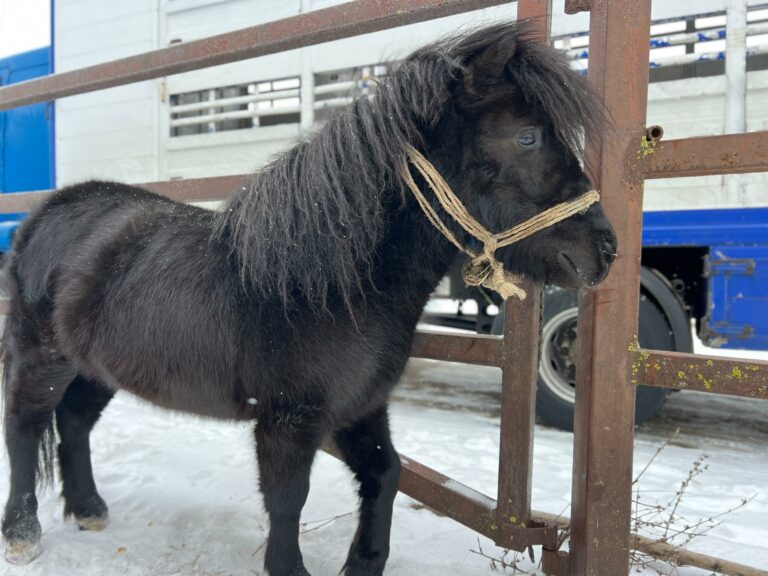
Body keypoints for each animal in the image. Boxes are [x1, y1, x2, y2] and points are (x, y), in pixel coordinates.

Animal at [1, 22, 616, 576]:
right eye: (527, 137)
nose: (606, 250)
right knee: (25, 427)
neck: (325, 286)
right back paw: (23, 533)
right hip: (41, 359)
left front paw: (364, 563)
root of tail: (45, 214)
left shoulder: (362, 405)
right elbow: (287, 500)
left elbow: (387, 473)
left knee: (74, 422)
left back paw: (88, 509)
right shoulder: (288, 420)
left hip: (96, 366)